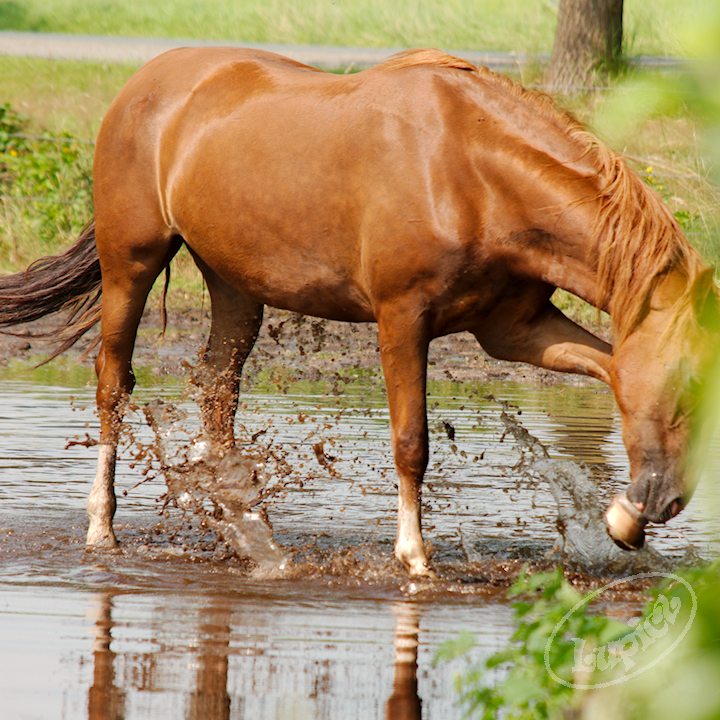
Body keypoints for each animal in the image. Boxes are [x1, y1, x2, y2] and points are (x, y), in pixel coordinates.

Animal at [1, 47, 720, 576]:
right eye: (686, 387)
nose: (666, 501)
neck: (473, 173)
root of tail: (143, 84)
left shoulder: (513, 330)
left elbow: (611, 368)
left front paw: (620, 518)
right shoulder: (404, 319)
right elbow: (411, 443)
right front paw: (415, 559)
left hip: (235, 284)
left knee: (217, 393)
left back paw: (250, 531)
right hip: (133, 262)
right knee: (113, 383)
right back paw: (102, 530)